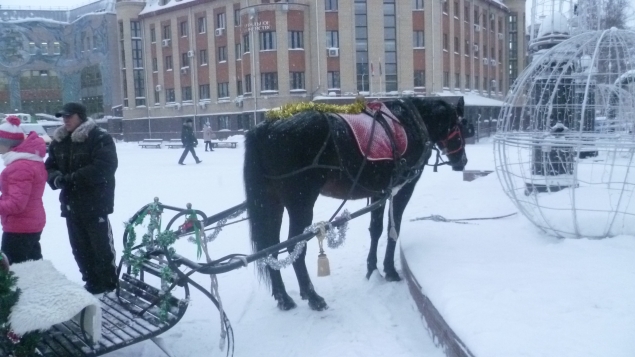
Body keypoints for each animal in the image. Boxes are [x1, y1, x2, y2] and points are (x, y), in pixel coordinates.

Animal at [246, 96, 470, 308]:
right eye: (461, 126)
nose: (463, 161)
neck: (410, 122)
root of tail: (265, 128)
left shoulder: (380, 192)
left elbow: (376, 229)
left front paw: (372, 269)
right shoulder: (403, 189)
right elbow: (393, 228)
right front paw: (390, 270)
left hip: (272, 203)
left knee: (271, 248)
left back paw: (283, 297)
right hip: (301, 203)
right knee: (293, 247)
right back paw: (312, 296)